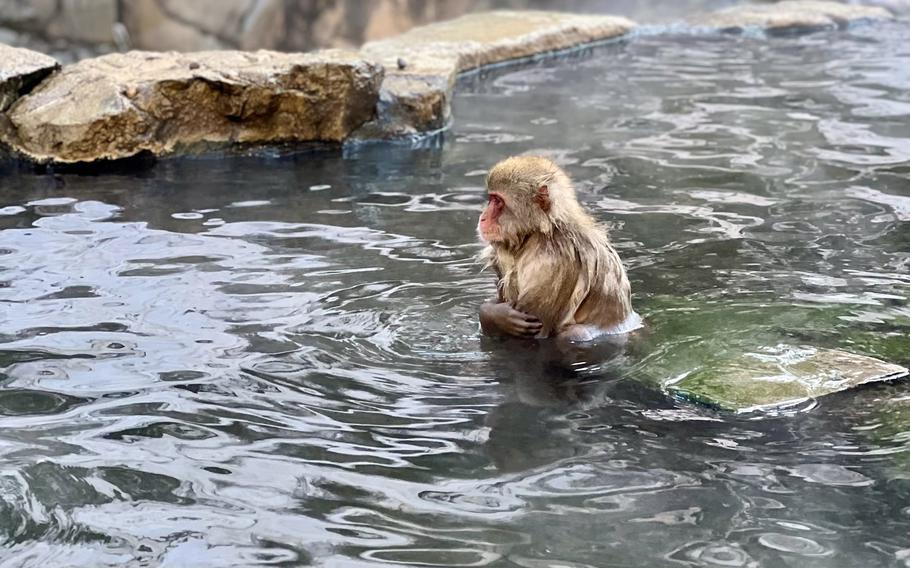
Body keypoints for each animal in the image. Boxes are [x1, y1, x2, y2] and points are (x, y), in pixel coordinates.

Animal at [478, 154, 640, 342]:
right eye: (491, 199)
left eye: (498, 201)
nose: (482, 218)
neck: (544, 230)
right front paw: (492, 312)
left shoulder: (551, 259)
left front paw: (494, 315)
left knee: (575, 333)